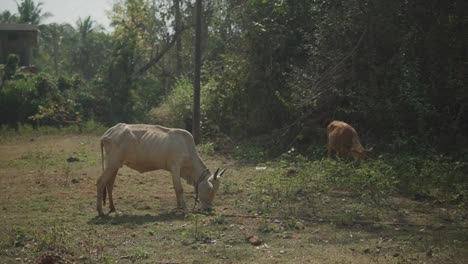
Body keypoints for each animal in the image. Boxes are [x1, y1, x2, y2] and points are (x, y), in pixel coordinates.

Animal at [96, 123, 226, 217]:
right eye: (210, 189)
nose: (209, 208)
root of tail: (108, 133)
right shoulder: (175, 166)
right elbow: (179, 189)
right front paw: (185, 208)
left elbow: (175, 188)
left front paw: (179, 206)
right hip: (112, 163)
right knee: (101, 182)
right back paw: (100, 211)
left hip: (115, 165)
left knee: (109, 185)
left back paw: (113, 208)